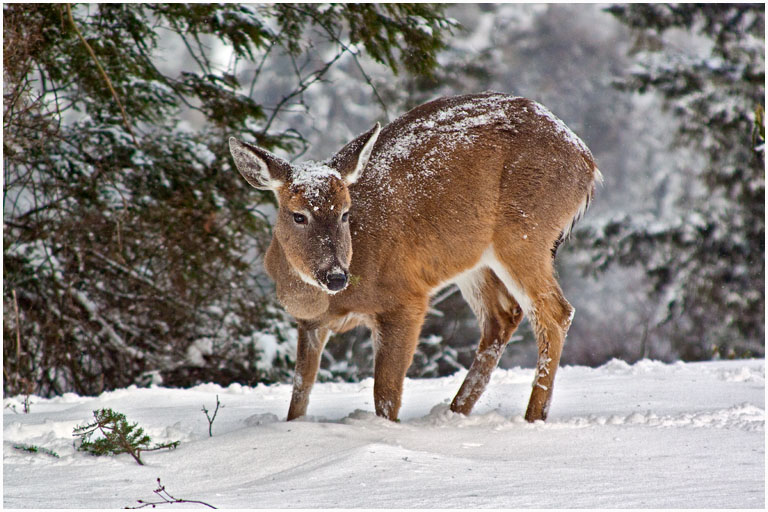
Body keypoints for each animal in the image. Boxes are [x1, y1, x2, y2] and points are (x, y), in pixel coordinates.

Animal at [229, 92, 601, 423]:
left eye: (346, 213)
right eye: (298, 215)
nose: (335, 276)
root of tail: (587, 160)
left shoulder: (406, 298)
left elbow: (386, 395)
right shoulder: (309, 324)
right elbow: (299, 395)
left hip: (525, 233)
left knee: (554, 312)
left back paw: (532, 417)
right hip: (472, 256)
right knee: (503, 316)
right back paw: (454, 413)